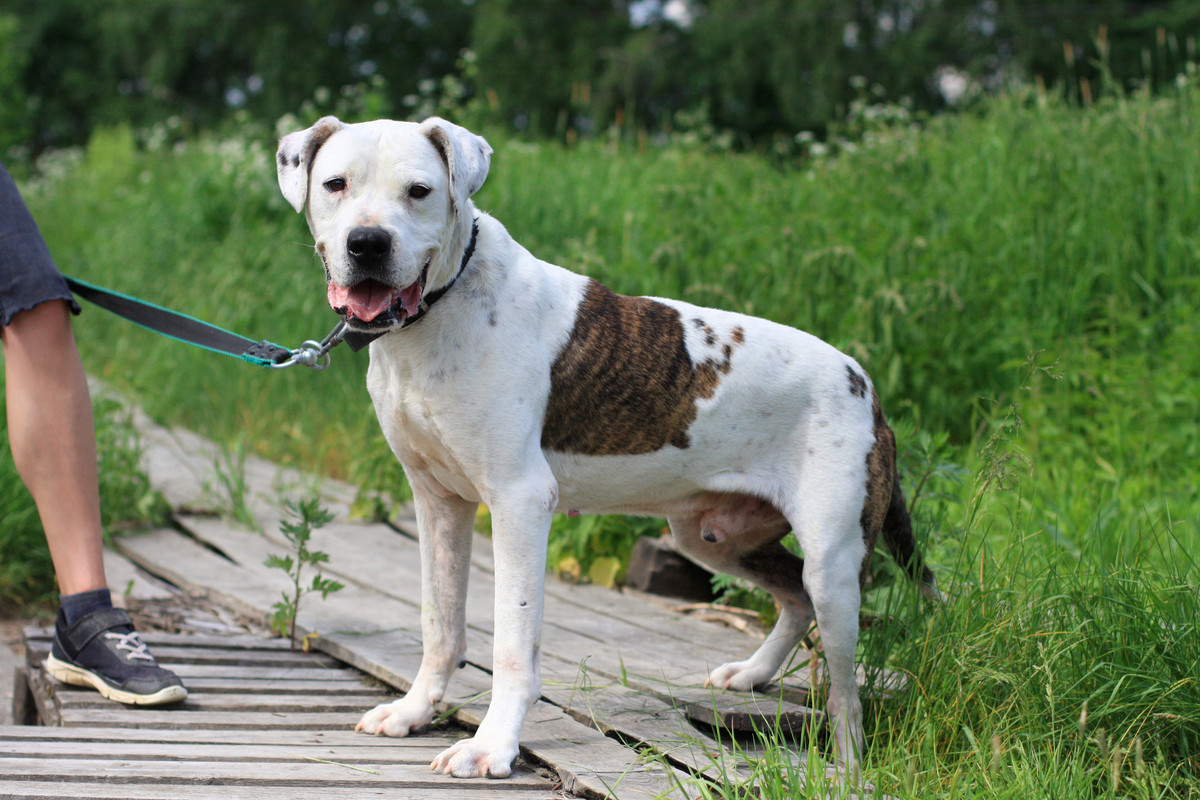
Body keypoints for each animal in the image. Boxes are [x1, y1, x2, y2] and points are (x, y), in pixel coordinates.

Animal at [276, 115, 940, 777]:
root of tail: (865, 387)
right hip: (711, 538)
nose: (368, 243)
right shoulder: (438, 501)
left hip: (834, 559)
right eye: (336, 184)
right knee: (795, 595)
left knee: (846, 687)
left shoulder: (520, 501)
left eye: (419, 191)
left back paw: (847, 766)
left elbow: (513, 643)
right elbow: (439, 623)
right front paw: (414, 711)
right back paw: (752, 674)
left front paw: (491, 747)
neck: (436, 313)